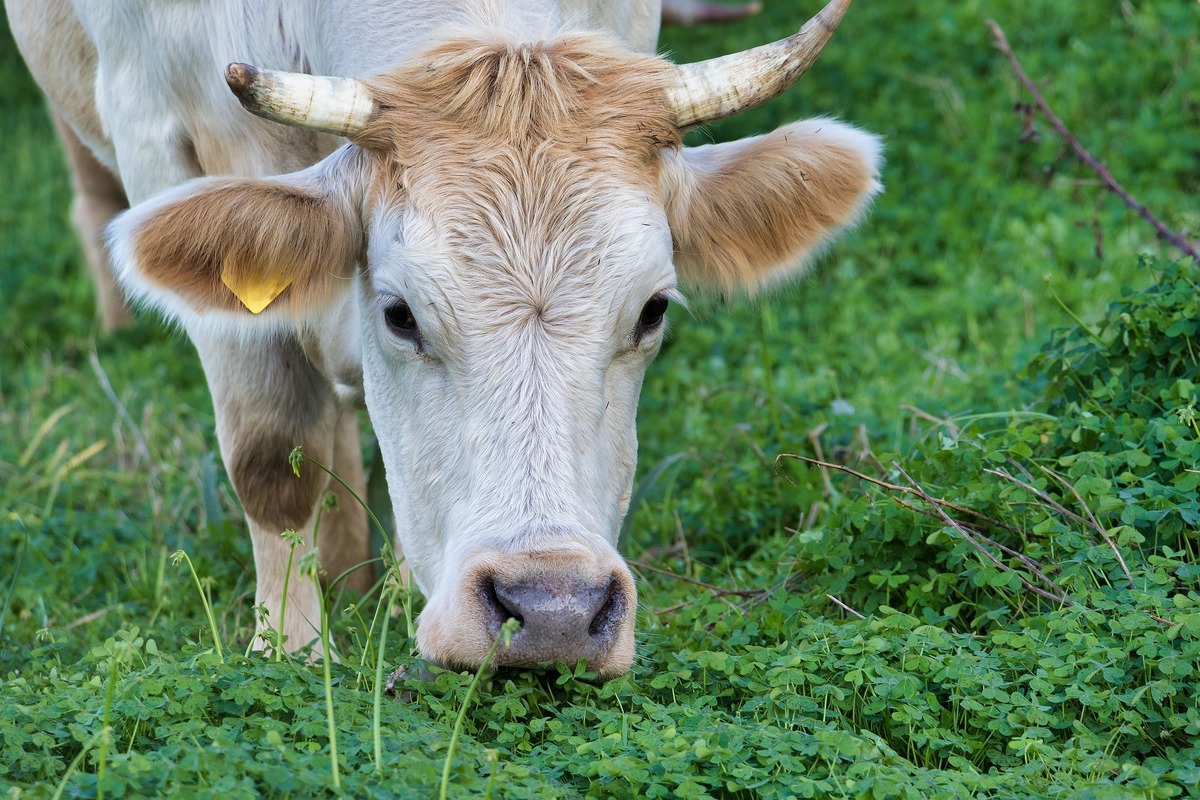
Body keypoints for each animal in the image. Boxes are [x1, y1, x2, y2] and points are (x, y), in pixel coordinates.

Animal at [11, 0, 883, 681]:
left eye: (652, 310)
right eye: (400, 314)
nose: (553, 611)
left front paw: (399, 602)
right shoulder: (155, 123)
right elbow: (272, 455)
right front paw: (291, 654)